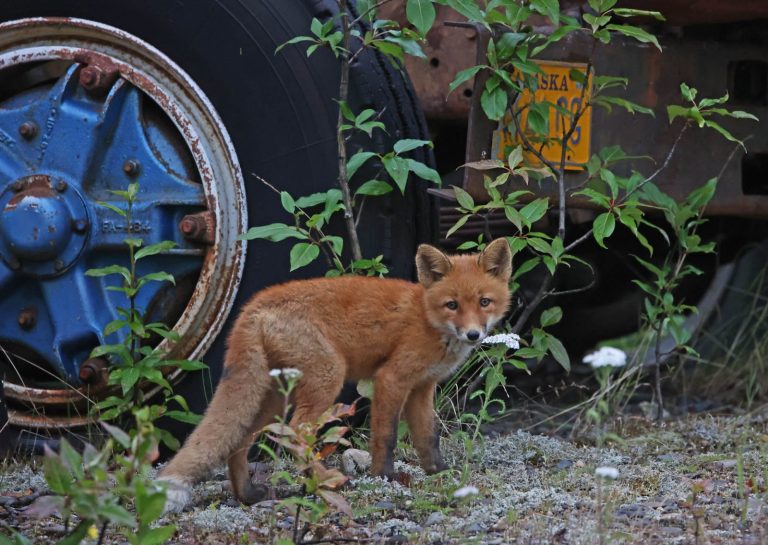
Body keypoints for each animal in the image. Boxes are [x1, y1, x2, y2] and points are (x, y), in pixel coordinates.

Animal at [158, 238, 512, 511]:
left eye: (484, 302)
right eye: (452, 305)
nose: (473, 335)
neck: (426, 317)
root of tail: (252, 305)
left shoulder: (422, 388)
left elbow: (428, 436)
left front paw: (438, 472)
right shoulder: (392, 378)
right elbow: (386, 436)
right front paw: (384, 476)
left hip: (271, 396)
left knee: (239, 442)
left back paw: (248, 494)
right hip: (327, 377)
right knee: (294, 433)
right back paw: (326, 480)